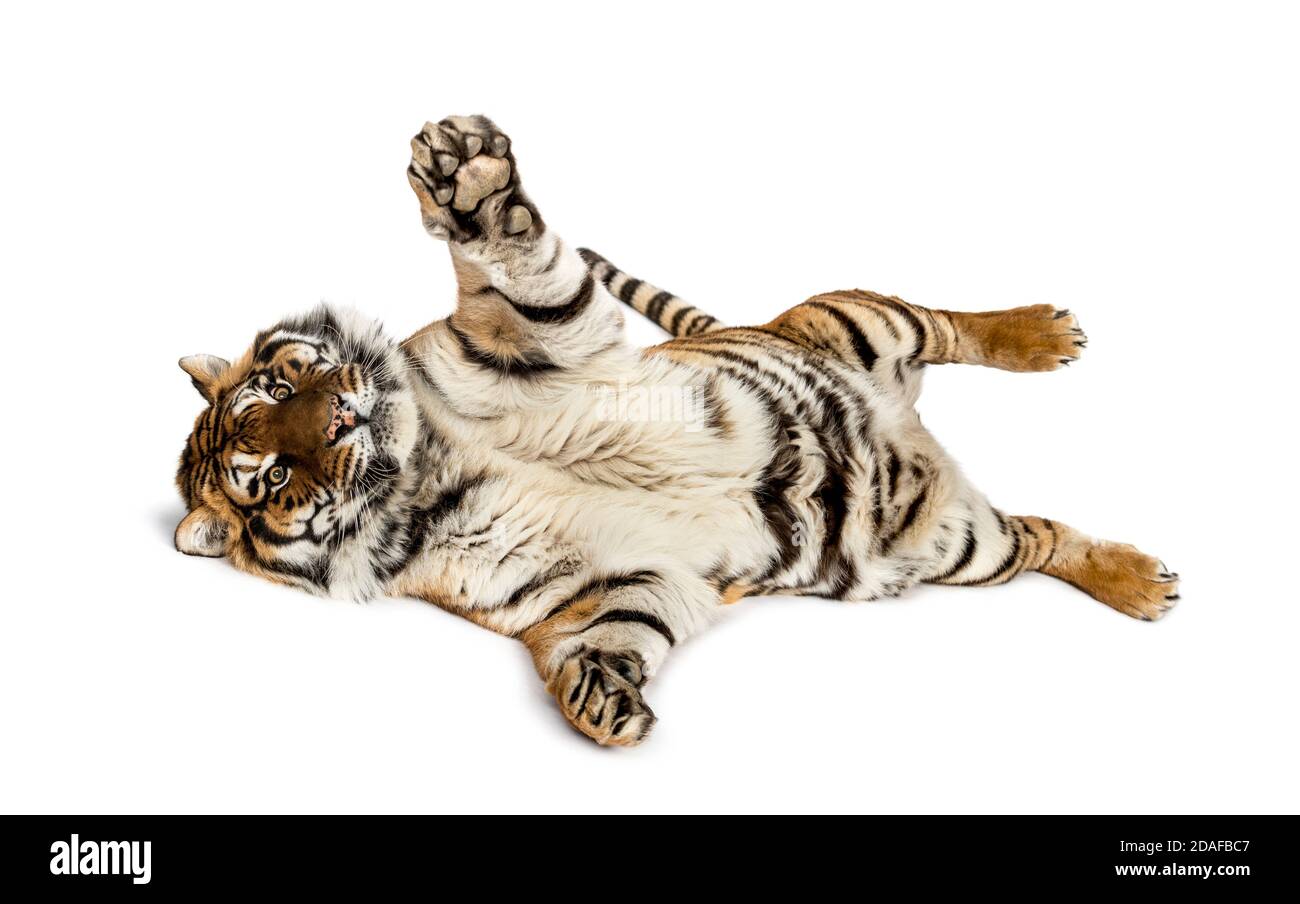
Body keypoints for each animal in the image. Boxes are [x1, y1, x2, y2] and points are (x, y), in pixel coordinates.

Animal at [175, 114, 1179, 746]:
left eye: (285, 377)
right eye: (271, 476)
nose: (347, 415)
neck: (422, 468)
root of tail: (912, 428)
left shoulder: (523, 336)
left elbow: (513, 262)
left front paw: (463, 176)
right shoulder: (595, 580)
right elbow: (603, 632)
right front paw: (601, 703)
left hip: (868, 323)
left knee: (948, 325)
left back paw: (1049, 338)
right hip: (951, 546)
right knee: (1040, 534)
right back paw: (1143, 583)